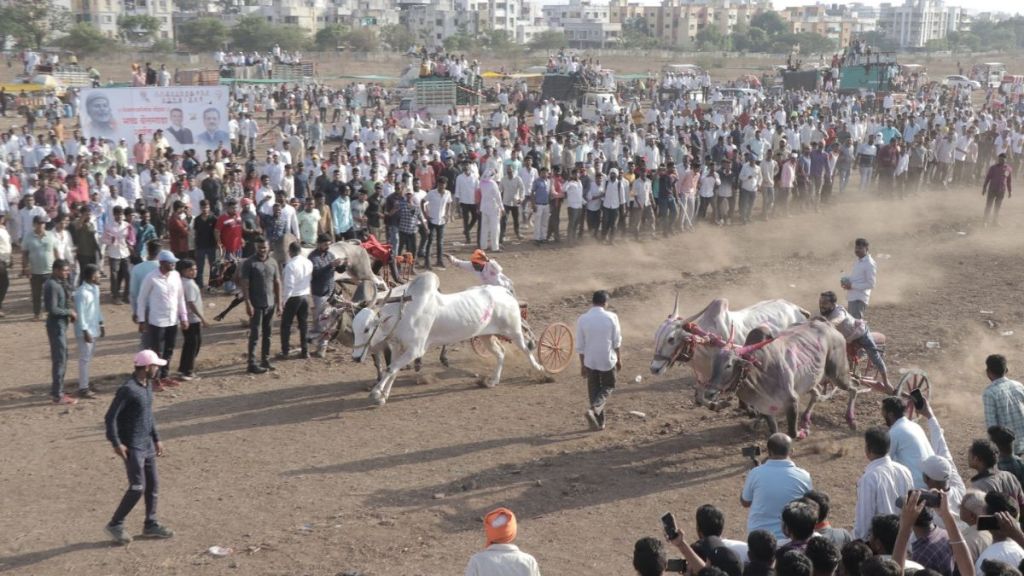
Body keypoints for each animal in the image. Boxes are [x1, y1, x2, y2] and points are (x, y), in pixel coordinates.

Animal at [352, 270, 544, 401]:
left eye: (367, 329)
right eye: (354, 329)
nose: (355, 357)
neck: (403, 313)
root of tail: (505, 292)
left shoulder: (416, 350)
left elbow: (390, 369)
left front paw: (376, 393)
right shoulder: (399, 348)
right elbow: (393, 370)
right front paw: (383, 394)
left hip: (513, 330)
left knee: (526, 348)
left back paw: (540, 370)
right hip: (486, 336)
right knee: (501, 353)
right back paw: (493, 381)